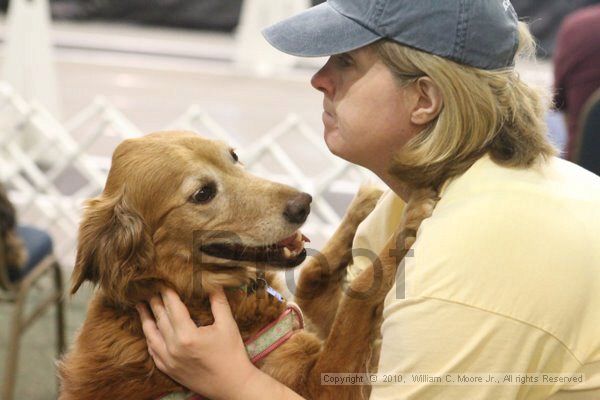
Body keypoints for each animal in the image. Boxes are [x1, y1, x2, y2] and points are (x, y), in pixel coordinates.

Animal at [58, 132, 438, 400]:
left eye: (234, 157)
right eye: (202, 194)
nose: (304, 204)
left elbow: (312, 276)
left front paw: (362, 206)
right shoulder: (324, 387)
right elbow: (355, 303)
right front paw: (408, 219)